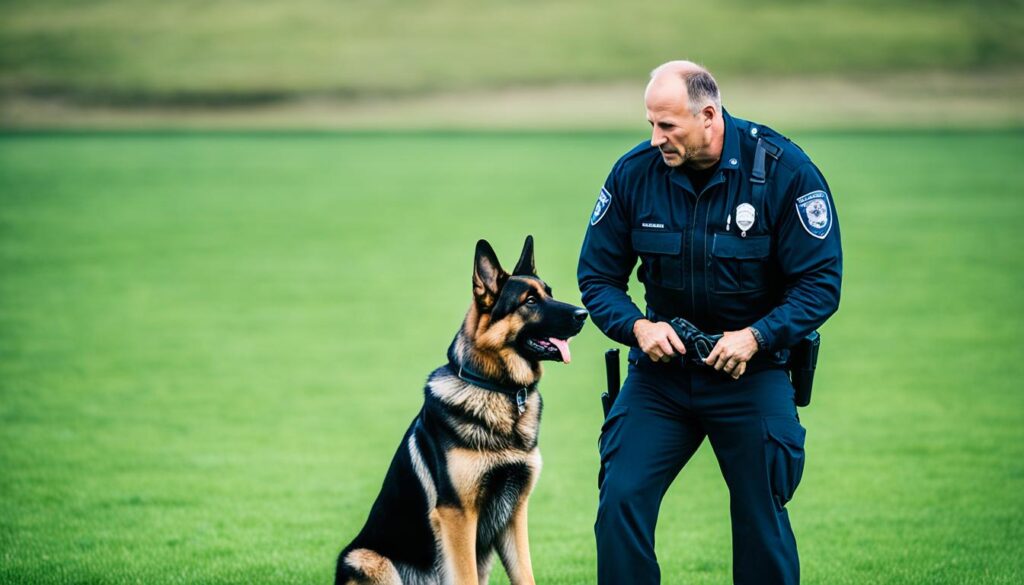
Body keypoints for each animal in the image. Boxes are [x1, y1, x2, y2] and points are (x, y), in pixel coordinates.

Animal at [335, 237, 589, 585]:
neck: (497, 389)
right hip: (365, 558)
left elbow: (525, 575)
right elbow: (465, 575)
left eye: (549, 293)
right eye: (530, 301)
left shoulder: (514, 514)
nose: (584, 313)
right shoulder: (458, 515)